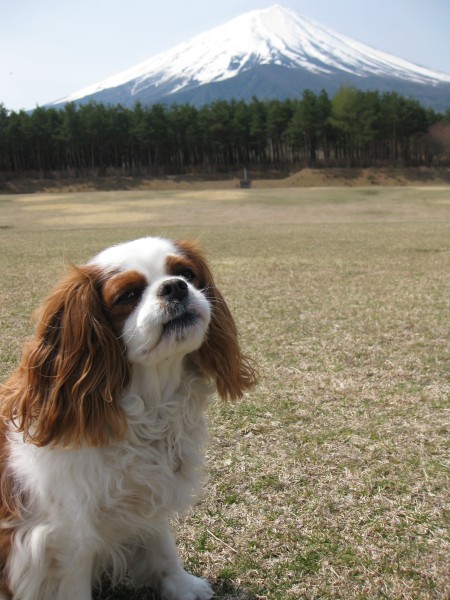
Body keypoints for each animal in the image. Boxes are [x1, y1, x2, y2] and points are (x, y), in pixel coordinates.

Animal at [0, 238, 255, 600]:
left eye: (186, 273)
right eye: (127, 295)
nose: (175, 287)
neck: (150, 406)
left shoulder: (145, 492)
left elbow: (161, 542)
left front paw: (180, 584)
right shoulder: (65, 537)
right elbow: (75, 585)